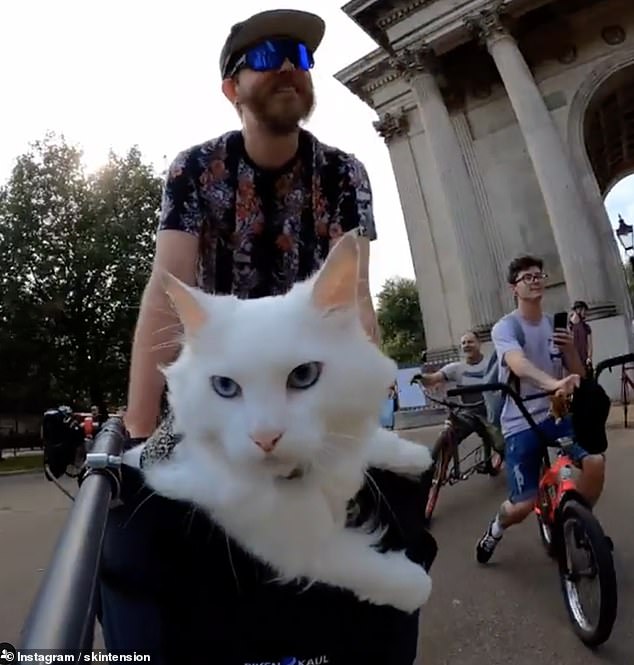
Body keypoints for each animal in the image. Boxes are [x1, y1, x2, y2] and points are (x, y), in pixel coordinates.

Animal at [121, 232, 432, 612]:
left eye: (303, 376)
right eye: (225, 387)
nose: (265, 437)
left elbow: (368, 441)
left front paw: (414, 457)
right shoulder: (287, 541)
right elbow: (359, 564)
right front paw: (415, 585)